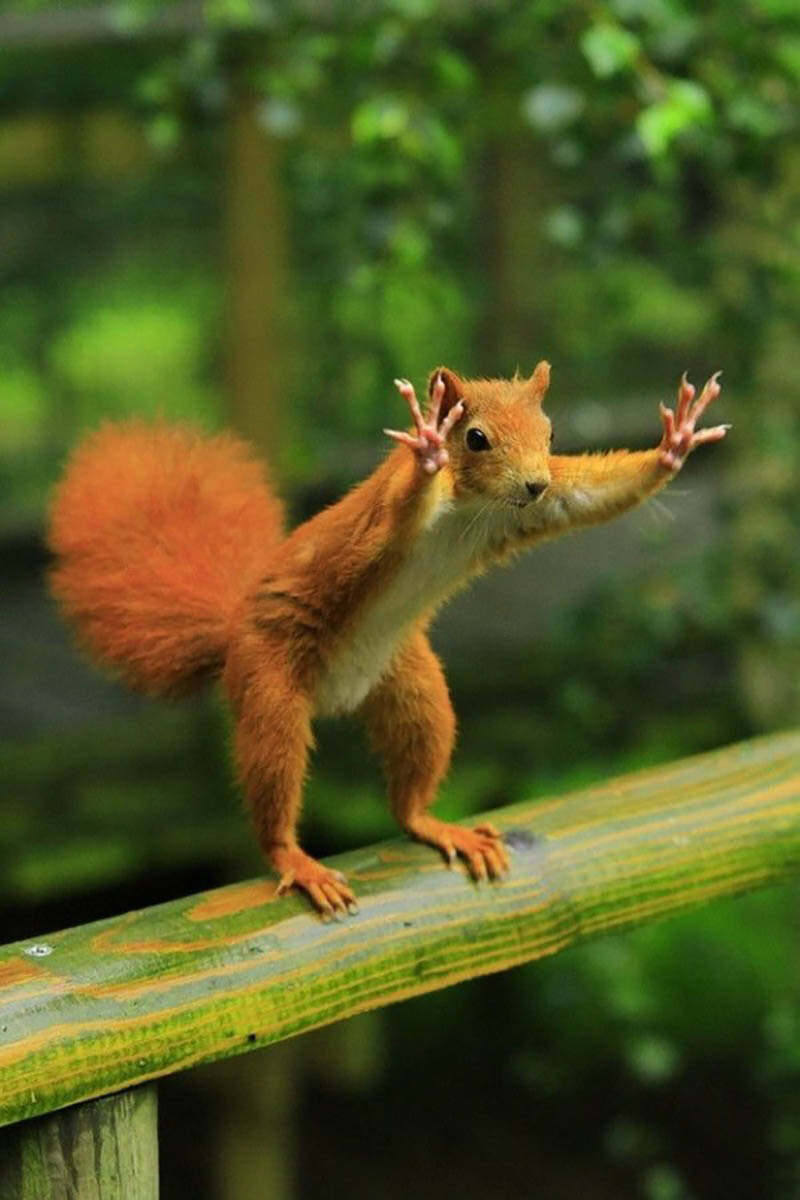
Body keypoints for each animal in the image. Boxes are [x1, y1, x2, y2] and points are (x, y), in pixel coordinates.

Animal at [48, 363, 727, 916]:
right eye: (475, 437)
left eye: (552, 433)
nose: (534, 482)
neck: (471, 506)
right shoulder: (381, 523)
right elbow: (394, 516)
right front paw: (427, 446)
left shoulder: (535, 509)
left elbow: (589, 495)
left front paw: (675, 444)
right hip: (270, 687)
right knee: (272, 781)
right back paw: (295, 859)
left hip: (412, 687)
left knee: (409, 789)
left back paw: (435, 824)